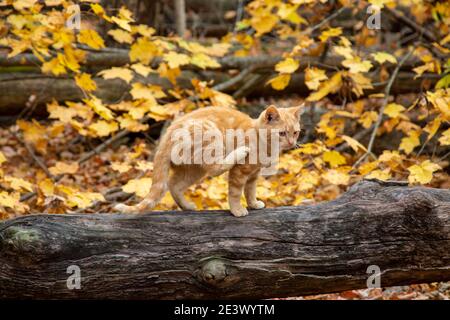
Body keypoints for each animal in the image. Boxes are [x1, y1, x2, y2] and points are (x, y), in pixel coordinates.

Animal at [114, 105, 302, 218]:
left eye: (295, 133)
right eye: (282, 133)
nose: (291, 143)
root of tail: (167, 135)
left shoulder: (254, 175)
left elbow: (250, 191)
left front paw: (254, 204)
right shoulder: (240, 172)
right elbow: (235, 193)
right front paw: (238, 210)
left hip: (194, 170)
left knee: (174, 184)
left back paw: (186, 206)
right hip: (211, 138)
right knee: (215, 168)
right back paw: (239, 152)